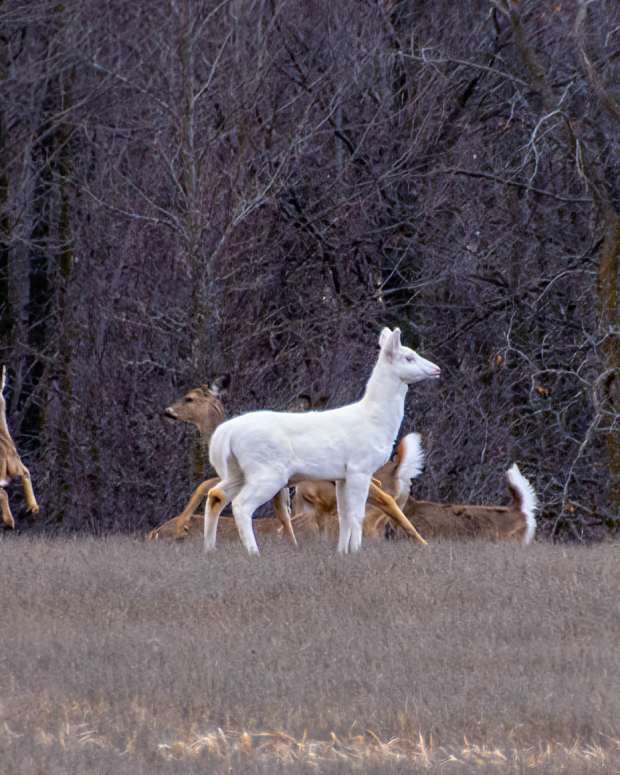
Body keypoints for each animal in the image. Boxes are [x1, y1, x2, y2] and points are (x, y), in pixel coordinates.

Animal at [204, 327, 441, 555]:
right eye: (409, 357)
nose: (436, 369)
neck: (375, 421)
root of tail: (224, 434)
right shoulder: (360, 467)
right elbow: (357, 514)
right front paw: (357, 551)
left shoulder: (342, 475)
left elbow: (344, 515)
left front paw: (343, 552)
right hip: (267, 471)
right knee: (241, 505)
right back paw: (253, 552)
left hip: (237, 471)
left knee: (216, 494)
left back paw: (210, 549)